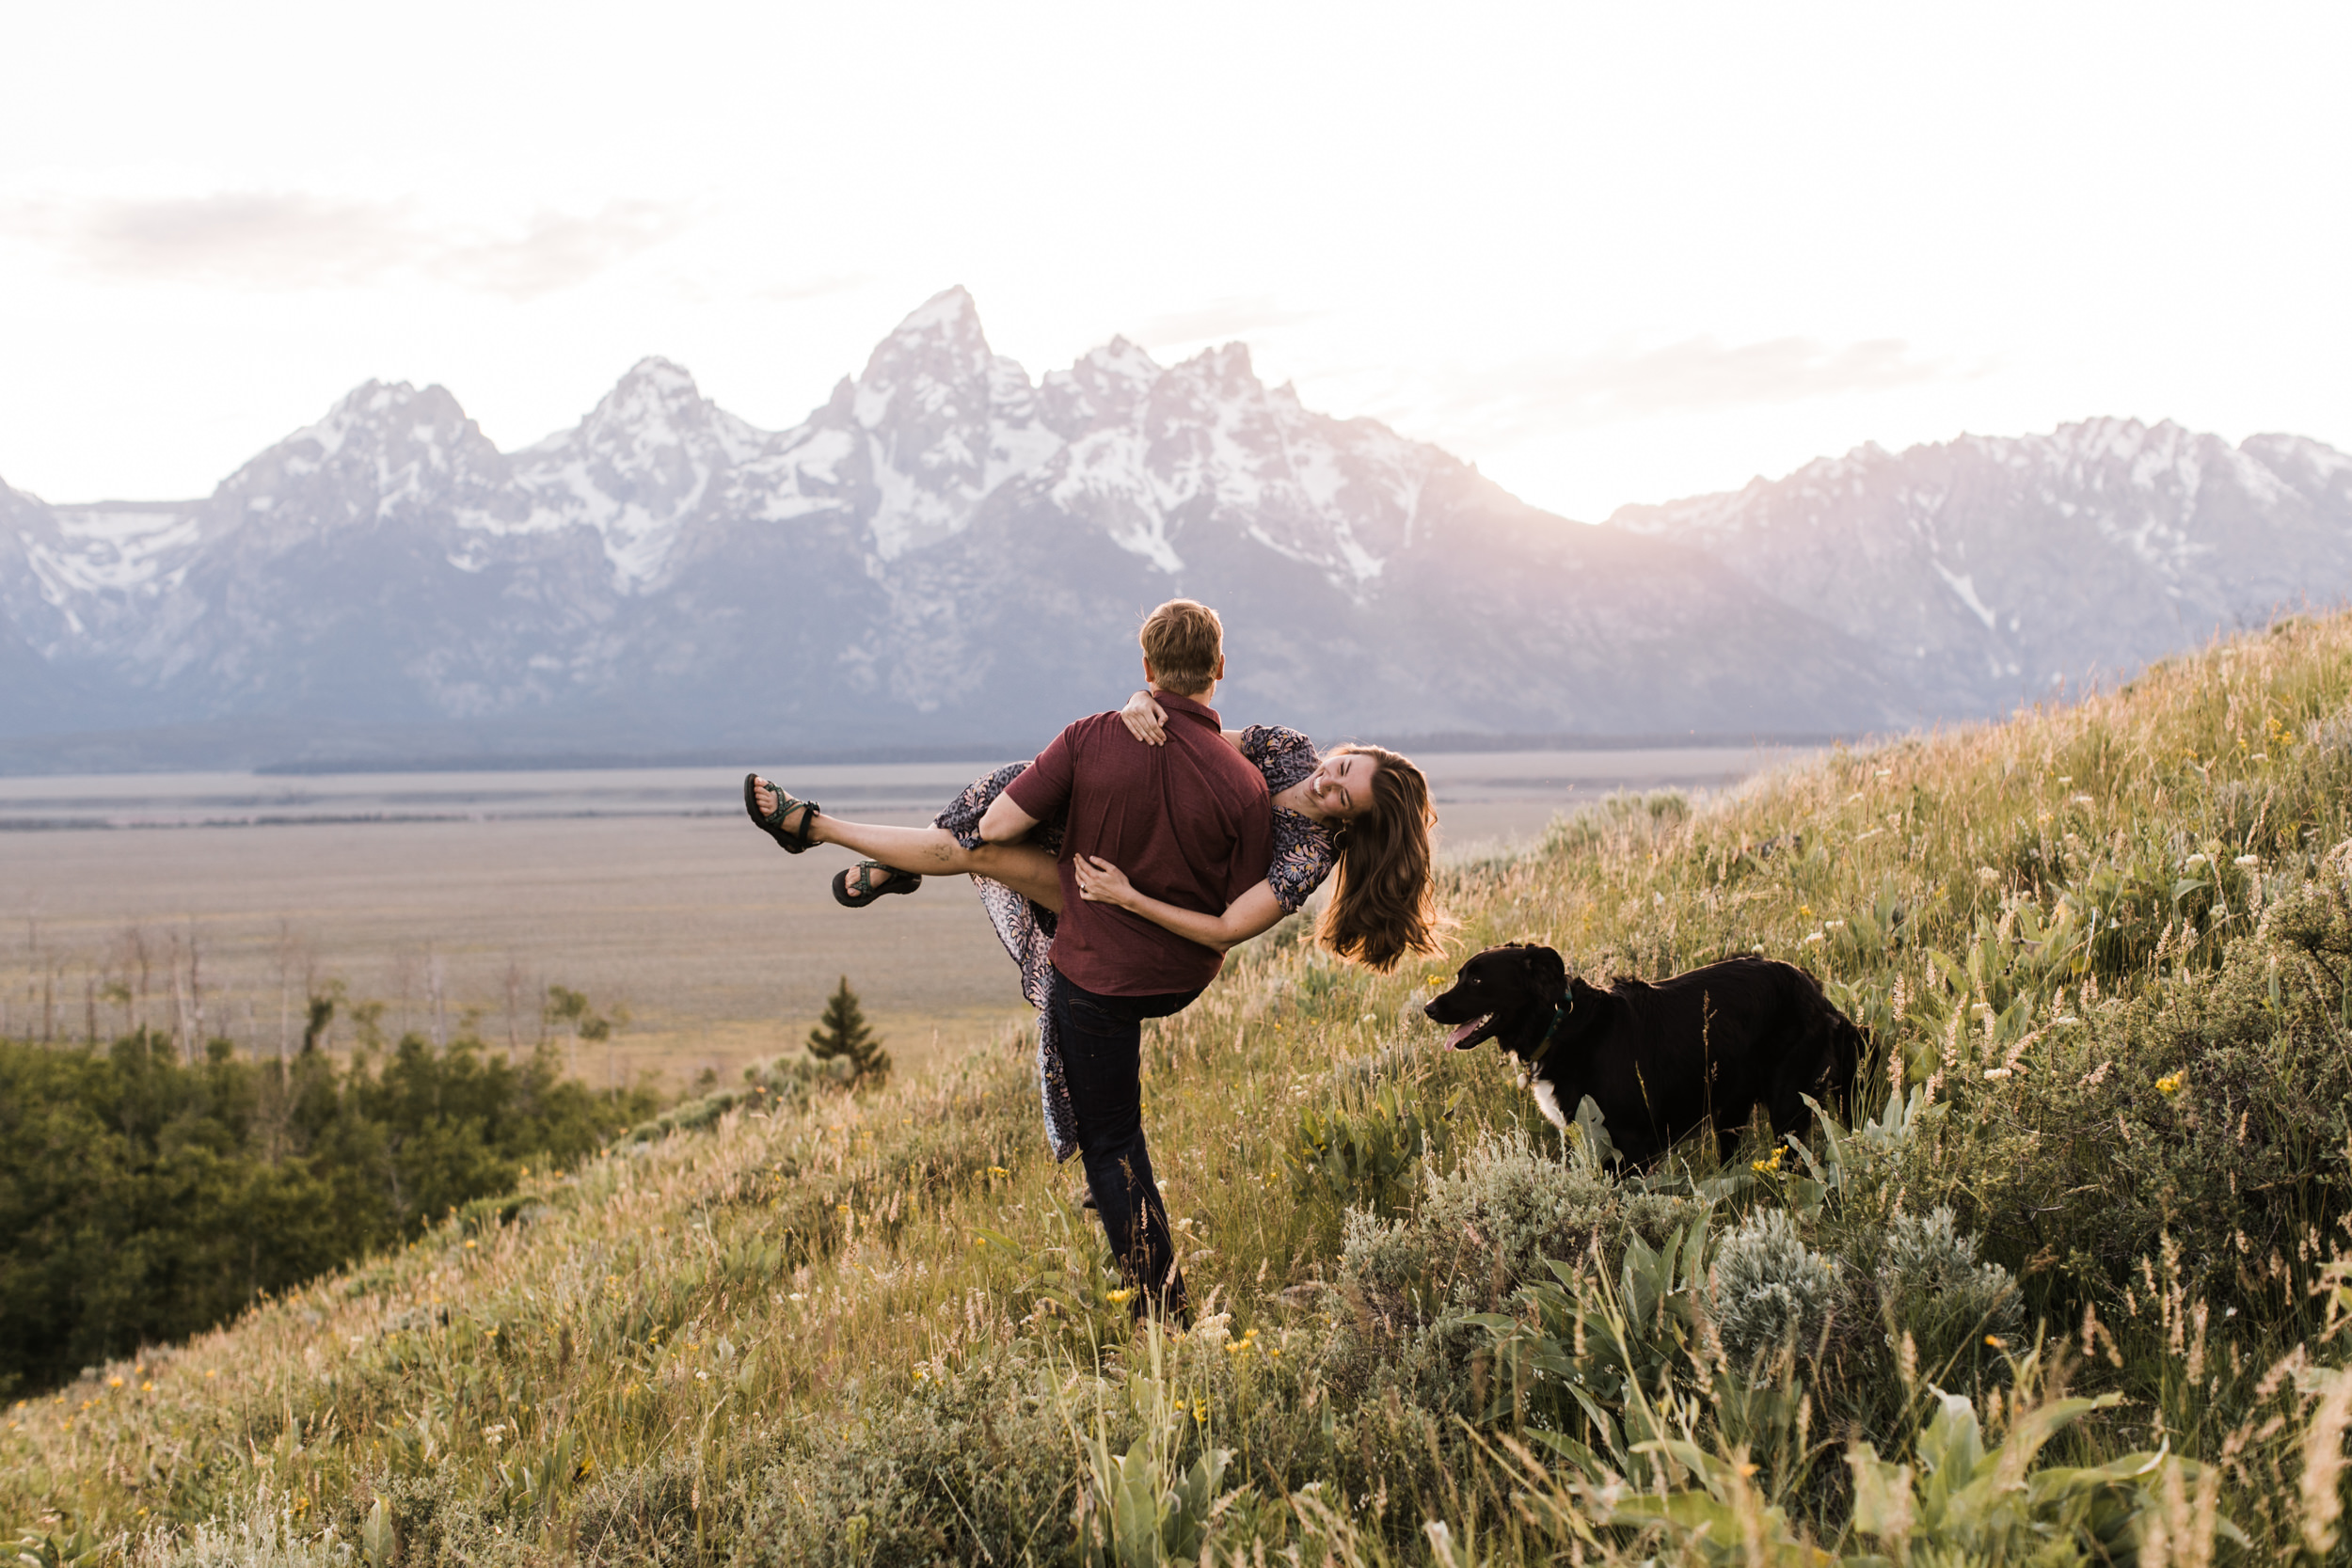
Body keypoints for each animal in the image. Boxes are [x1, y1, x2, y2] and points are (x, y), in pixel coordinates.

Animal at [1421, 944, 1863, 1165]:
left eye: (1477, 981)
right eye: (1461, 976)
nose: (1428, 1008)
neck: (1560, 1026)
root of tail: (1817, 994)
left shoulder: (1631, 1144)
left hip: (1788, 1106)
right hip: (1731, 1111)